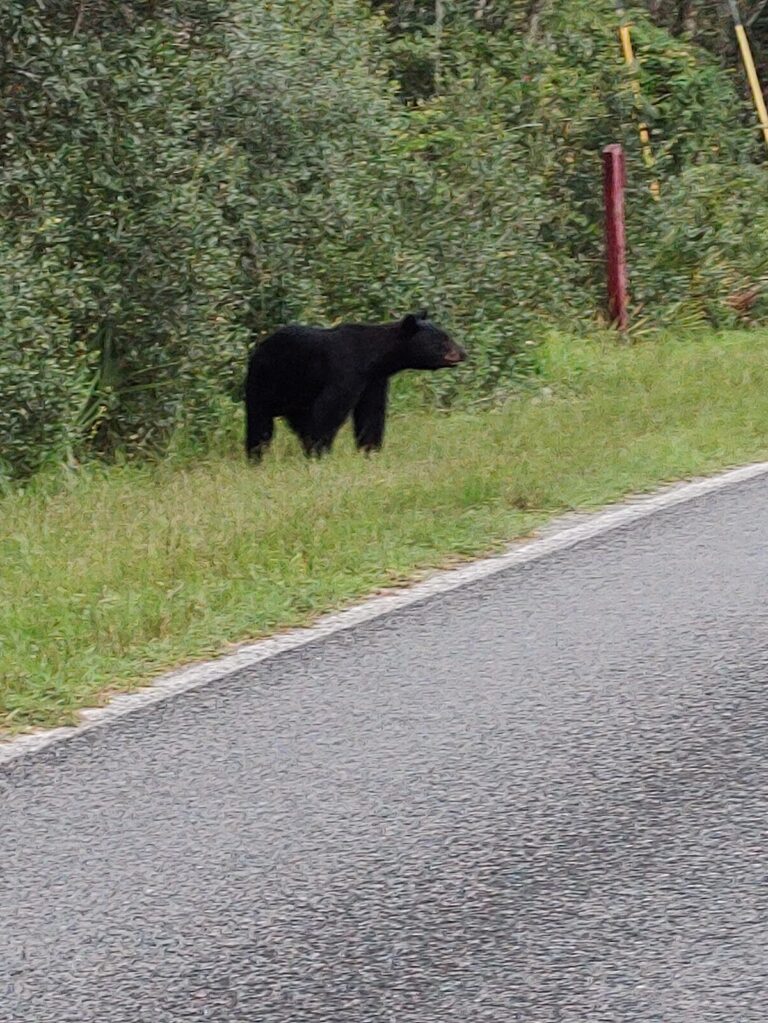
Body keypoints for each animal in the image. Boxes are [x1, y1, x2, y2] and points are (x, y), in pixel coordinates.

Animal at [244, 306, 468, 460]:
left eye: (447, 335)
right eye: (443, 340)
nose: (463, 352)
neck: (373, 356)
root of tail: (257, 350)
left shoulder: (374, 380)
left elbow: (371, 414)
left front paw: (370, 451)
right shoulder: (346, 371)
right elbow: (328, 410)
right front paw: (319, 454)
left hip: (296, 397)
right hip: (266, 382)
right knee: (260, 423)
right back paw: (256, 457)